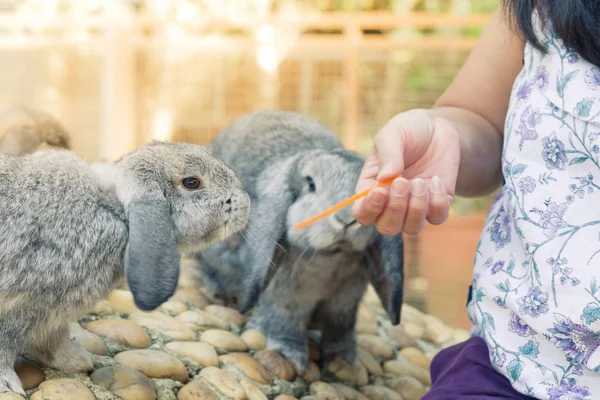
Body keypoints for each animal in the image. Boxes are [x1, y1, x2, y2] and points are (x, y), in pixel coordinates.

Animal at [0, 141, 251, 394]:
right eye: (192, 182)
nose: (246, 204)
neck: (113, 211)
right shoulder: (30, 306)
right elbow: (9, 345)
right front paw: (9, 384)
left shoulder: (53, 317)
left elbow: (52, 344)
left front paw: (81, 362)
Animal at [196, 110, 404, 372]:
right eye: (311, 184)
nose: (346, 219)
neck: (330, 258)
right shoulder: (284, 295)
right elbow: (285, 319)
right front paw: (289, 353)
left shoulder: (345, 302)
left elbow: (340, 326)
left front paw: (344, 359)